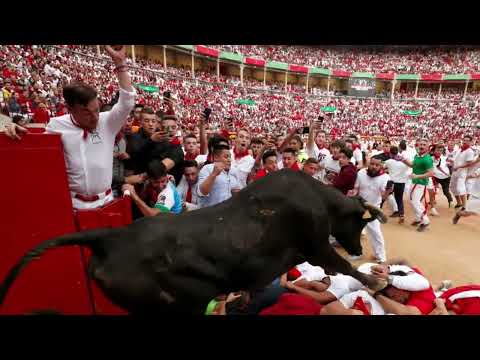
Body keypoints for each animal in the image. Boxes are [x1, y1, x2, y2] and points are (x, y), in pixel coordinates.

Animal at [0, 170, 386, 314]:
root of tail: (111, 235)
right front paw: (378, 280)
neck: (318, 197)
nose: (357, 247)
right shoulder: (317, 246)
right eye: (358, 222)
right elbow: (344, 267)